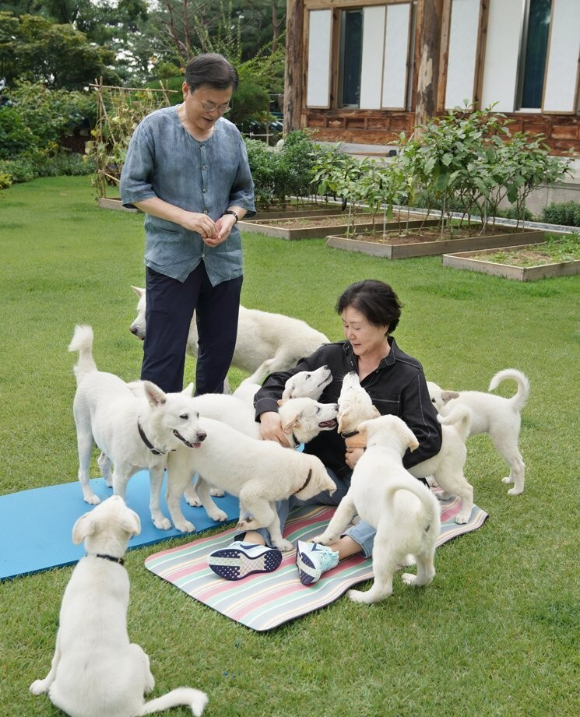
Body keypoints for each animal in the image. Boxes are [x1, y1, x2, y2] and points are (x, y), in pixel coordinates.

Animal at [29, 496, 207, 716]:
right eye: (119, 505)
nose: (116, 496)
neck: (103, 557)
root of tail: (133, 709)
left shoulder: (60, 634)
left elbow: (54, 663)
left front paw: (40, 685)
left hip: (57, 693)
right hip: (135, 649)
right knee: (148, 680)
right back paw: (150, 681)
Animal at [69, 328, 207, 528]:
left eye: (197, 415)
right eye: (183, 417)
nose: (203, 435)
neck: (146, 436)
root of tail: (91, 374)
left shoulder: (157, 472)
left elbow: (155, 501)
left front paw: (158, 519)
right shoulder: (122, 475)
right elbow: (120, 501)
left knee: (103, 461)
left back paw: (108, 481)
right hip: (85, 439)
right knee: (83, 472)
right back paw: (89, 495)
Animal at [131, 286, 330, 374]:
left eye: (149, 316)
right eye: (139, 312)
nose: (132, 330)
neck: (194, 323)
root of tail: (325, 342)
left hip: (278, 367)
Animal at [312, 414, 440, 604]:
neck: (383, 450)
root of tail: (423, 515)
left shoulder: (349, 500)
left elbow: (335, 524)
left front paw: (323, 539)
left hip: (382, 548)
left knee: (383, 588)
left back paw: (358, 596)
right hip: (425, 549)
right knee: (427, 574)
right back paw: (411, 580)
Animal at [338, 372, 474, 524]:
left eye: (350, 388)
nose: (352, 373)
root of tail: (458, 432)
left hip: (447, 473)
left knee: (467, 489)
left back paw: (464, 515)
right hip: (445, 474)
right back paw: (444, 496)